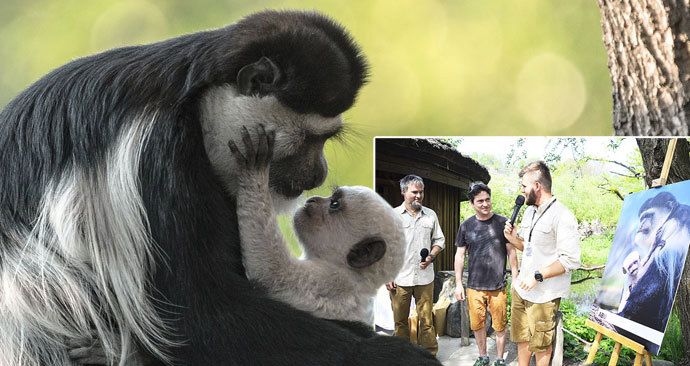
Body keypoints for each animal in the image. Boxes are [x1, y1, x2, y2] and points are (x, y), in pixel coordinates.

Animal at [227, 126, 404, 324]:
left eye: (334, 204)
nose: (312, 200)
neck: (357, 278)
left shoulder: (328, 281)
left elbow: (272, 271)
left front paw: (255, 170)